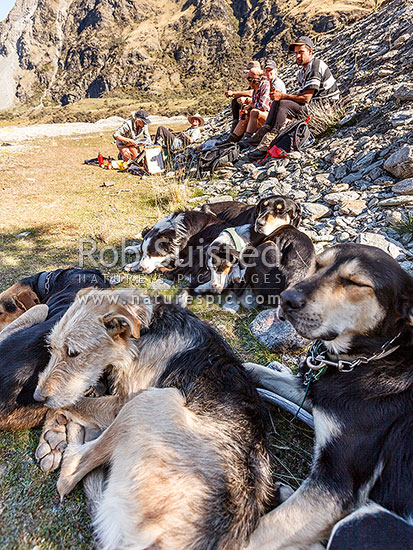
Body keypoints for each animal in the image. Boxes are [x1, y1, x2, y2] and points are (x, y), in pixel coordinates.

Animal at [33, 292, 272, 548]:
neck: (145, 327)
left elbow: (70, 403)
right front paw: (52, 433)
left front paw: (53, 426)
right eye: (52, 347)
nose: (37, 395)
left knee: (69, 473)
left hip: (152, 399)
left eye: (73, 353)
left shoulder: (121, 402)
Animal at [245, 246, 412, 550]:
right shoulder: (315, 392)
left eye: (355, 282)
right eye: (318, 264)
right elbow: (254, 369)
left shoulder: (336, 485)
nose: (286, 299)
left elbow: (257, 534)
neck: (366, 360)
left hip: (365, 523)